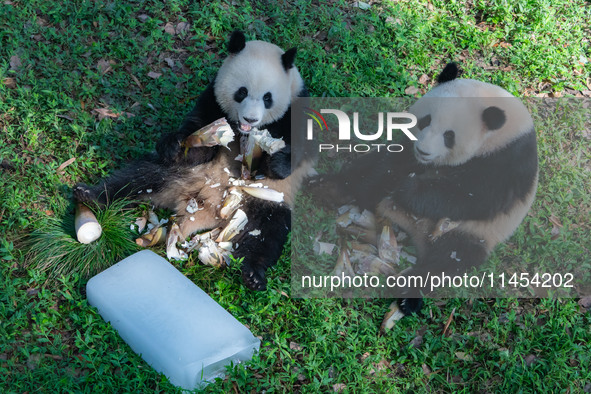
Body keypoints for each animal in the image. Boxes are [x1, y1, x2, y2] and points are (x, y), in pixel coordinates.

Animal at [74, 30, 312, 290]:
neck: (243, 131)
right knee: (138, 177)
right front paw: (176, 144)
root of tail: (201, 210)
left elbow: (301, 147)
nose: (250, 119)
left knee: (267, 232)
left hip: (265, 200)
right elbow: (198, 135)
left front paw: (274, 163)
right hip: (181, 173)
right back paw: (90, 195)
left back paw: (253, 274)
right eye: (242, 92)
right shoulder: (212, 101)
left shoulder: (296, 107)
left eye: (268, 98)